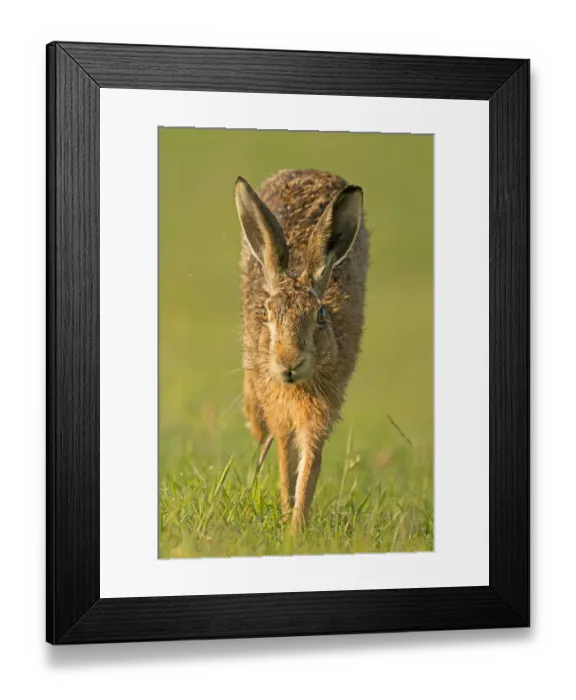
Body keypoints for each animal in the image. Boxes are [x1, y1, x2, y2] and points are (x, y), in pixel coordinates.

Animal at [235, 169, 368, 533]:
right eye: (266, 314)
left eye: (320, 315)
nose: (289, 362)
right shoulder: (280, 411)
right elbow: (286, 462)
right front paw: (286, 519)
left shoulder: (320, 415)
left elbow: (309, 465)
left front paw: (296, 529)